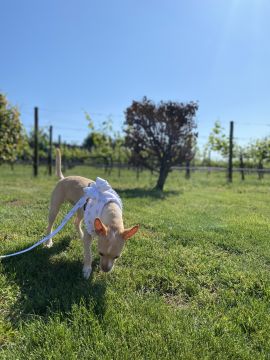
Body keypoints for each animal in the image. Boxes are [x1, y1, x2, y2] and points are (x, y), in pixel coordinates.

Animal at [45, 149, 139, 278]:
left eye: (117, 257)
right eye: (100, 253)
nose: (105, 270)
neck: (110, 209)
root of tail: (63, 178)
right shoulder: (90, 231)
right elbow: (88, 254)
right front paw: (87, 269)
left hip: (81, 210)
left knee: (76, 222)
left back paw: (81, 236)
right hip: (55, 207)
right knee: (50, 225)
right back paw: (48, 242)